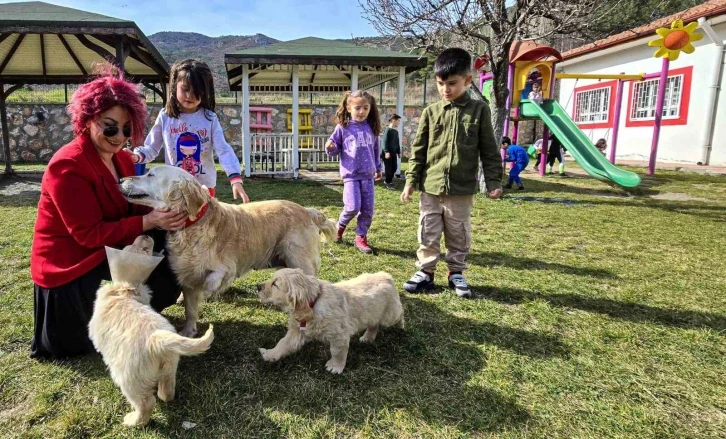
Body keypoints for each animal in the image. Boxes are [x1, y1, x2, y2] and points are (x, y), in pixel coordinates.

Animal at [118, 165, 336, 336]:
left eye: (150, 175)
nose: (120, 179)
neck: (192, 224)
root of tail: (307, 211)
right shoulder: (186, 275)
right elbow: (190, 309)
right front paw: (188, 331)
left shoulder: (228, 266)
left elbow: (213, 278)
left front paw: (208, 291)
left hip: (301, 262)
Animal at [258, 268, 406, 374]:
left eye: (275, 284)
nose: (258, 286)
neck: (313, 303)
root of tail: (386, 276)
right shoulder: (297, 331)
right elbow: (283, 343)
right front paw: (269, 354)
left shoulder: (339, 335)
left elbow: (337, 351)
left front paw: (335, 367)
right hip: (373, 313)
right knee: (374, 325)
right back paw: (367, 338)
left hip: (390, 315)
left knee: (400, 312)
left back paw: (401, 326)